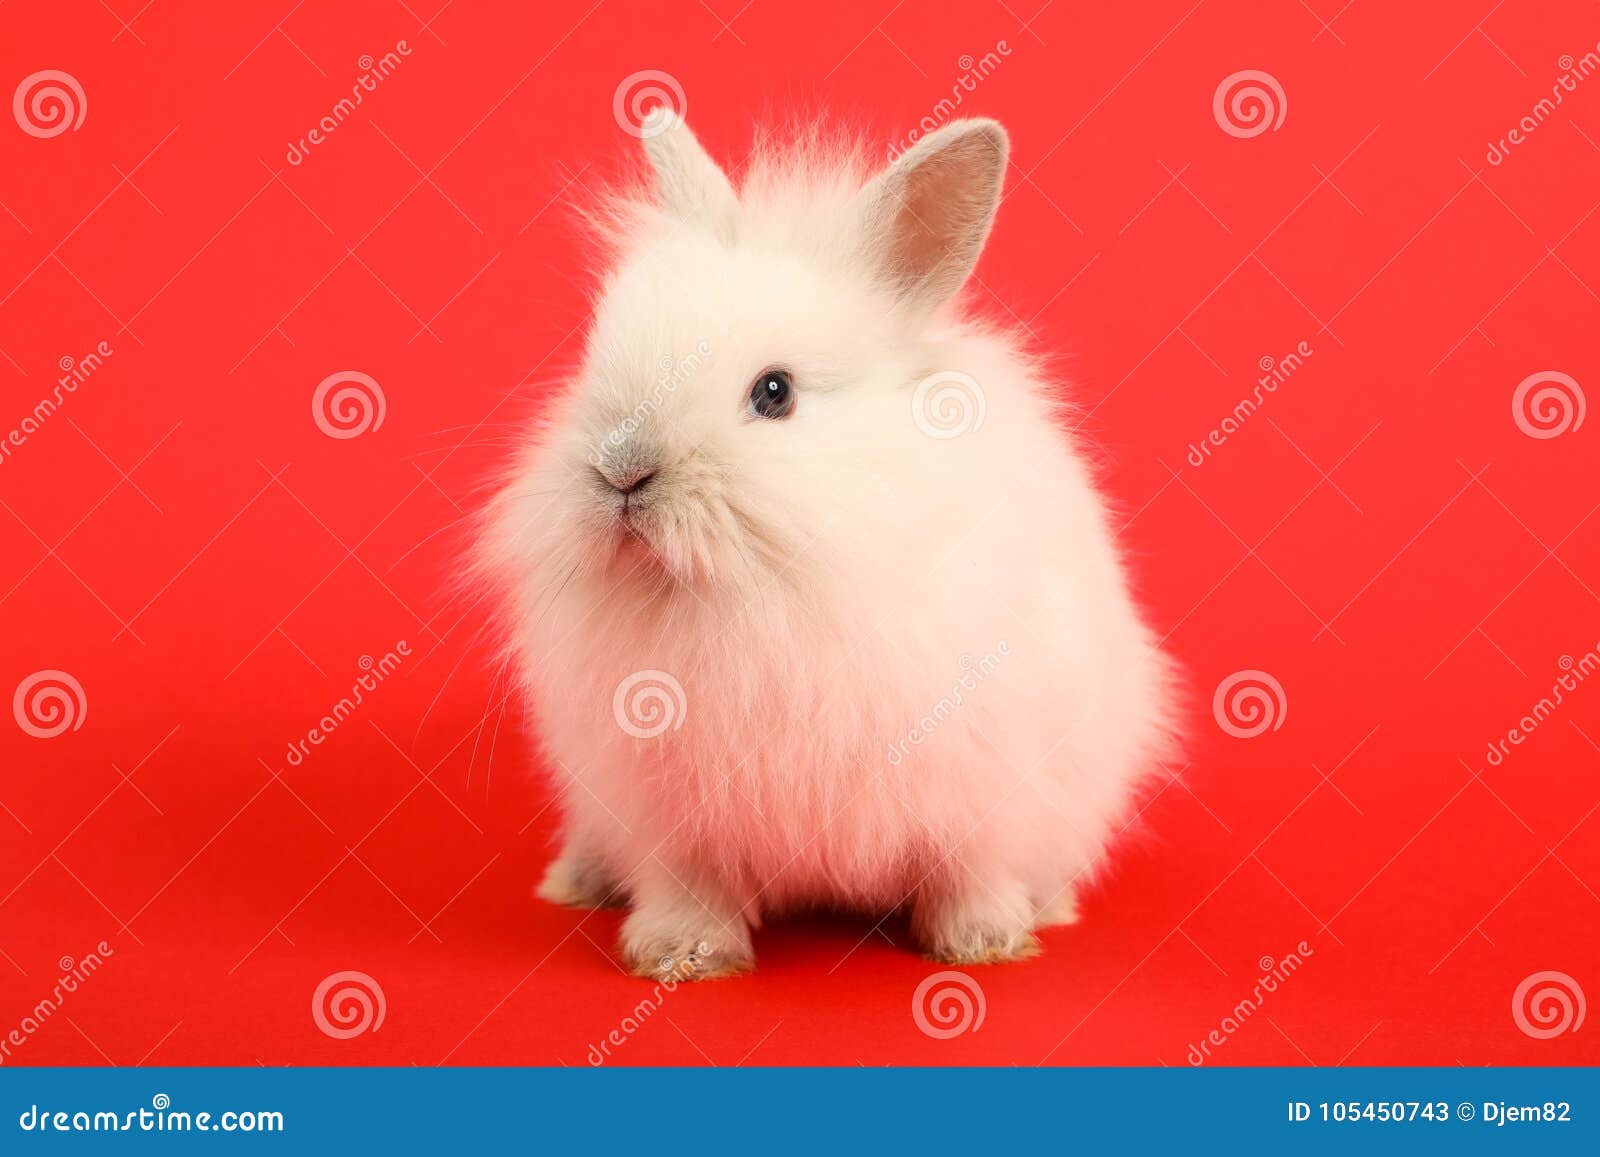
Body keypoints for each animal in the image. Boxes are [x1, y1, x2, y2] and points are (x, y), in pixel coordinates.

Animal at [476, 109, 1179, 979]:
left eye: (774, 392)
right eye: (592, 358)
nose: (621, 470)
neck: (766, 594)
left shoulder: (989, 785)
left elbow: (971, 869)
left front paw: (983, 940)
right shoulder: (668, 809)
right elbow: (691, 881)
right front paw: (681, 954)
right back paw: (576, 884)